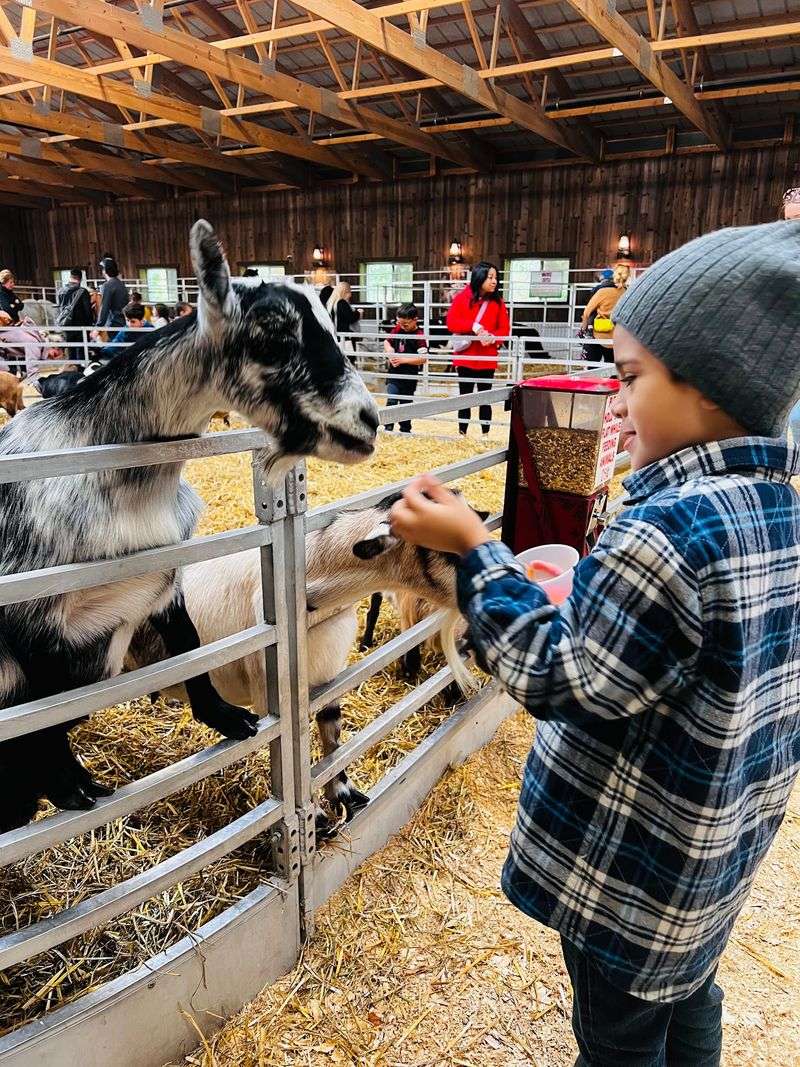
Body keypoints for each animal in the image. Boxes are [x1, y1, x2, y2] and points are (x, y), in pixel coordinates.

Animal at [0, 219, 379, 832]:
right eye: (272, 336)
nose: (369, 421)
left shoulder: (165, 576)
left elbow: (192, 649)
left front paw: (228, 718)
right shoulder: (30, 622)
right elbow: (41, 718)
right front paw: (73, 787)